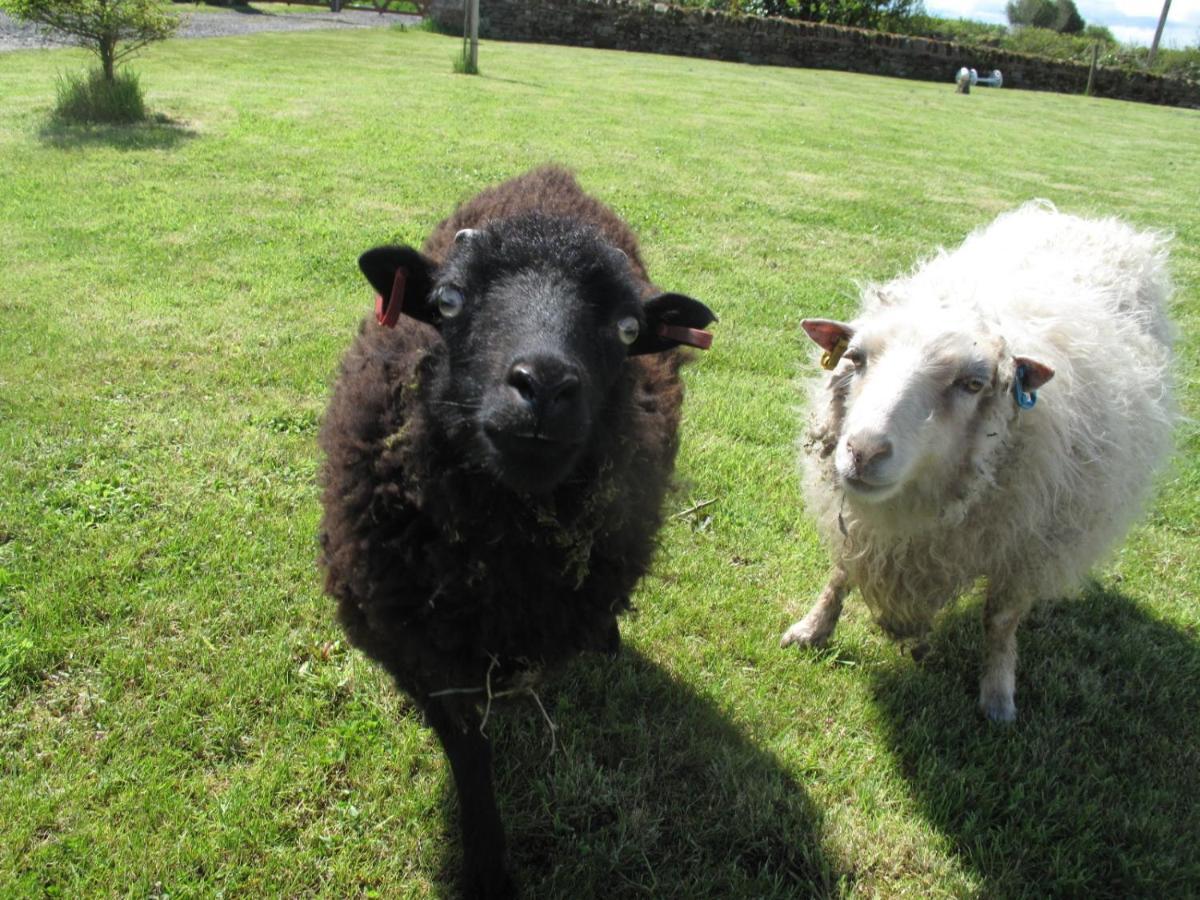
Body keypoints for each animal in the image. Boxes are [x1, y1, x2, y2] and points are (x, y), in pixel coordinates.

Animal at [316, 165, 710, 897]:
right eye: (448, 301)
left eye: (627, 329)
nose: (545, 386)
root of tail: (553, 176)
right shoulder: (415, 644)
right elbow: (469, 754)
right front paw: (487, 867)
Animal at [782, 204, 1176, 724]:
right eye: (855, 357)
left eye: (972, 383)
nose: (863, 452)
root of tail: (1093, 222)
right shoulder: (858, 523)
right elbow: (841, 572)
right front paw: (812, 629)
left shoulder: (1028, 543)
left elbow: (1001, 619)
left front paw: (998, 695)